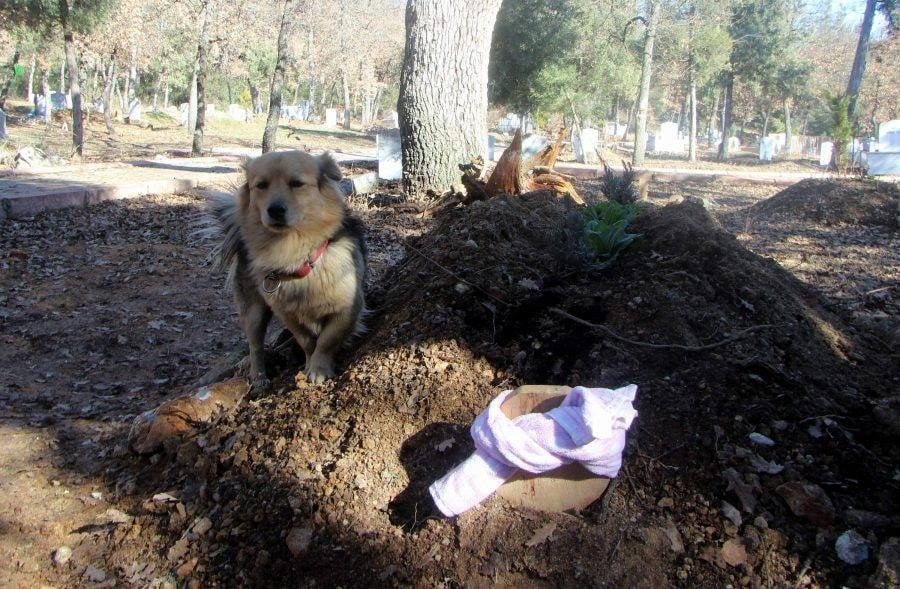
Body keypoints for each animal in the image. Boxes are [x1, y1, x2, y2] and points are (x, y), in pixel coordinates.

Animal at [207, 149, 366, 384]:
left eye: (297, 183)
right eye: (261, 185)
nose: (275, 210)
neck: (293, 253)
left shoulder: (347, 309)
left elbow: (326, 340)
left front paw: (319, 368)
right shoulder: (287, 315)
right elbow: (307, 341)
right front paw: (310, 363)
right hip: (253, 311)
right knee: (255, 344)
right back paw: (258, 376)